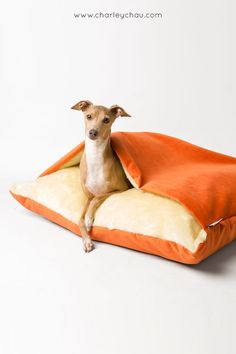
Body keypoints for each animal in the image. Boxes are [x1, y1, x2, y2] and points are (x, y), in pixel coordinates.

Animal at [71, 100, 132, 252]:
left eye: (106, 120)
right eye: (88, 116)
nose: (93, 132)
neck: (95, 158)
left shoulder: (121, 189)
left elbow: (97, 198)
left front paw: (89, 219)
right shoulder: (87, 196)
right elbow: (79, 220)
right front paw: (86, 240)